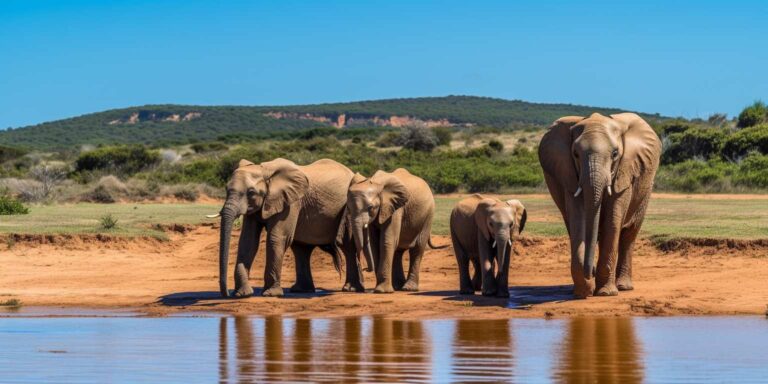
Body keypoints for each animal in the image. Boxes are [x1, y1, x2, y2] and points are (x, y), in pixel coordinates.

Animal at [208, 158, 356, 298]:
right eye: (226, 189)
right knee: (301, 249)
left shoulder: (291, 203)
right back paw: (301, 290)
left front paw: (271, 294)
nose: (226, 294)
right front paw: (242, 294)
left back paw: (349, 289)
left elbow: (276, 238)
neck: (264, 171)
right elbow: (248, 241)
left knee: (347, 246)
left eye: (251, 192)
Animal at [540, 112, 660, 298]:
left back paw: (623, 287)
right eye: (575, 154)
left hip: (646, 190)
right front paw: (583, 292)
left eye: (615, 153)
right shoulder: (570, 175)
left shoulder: (624, 173)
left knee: (629, 234)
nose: (590, 272)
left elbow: (612, 220)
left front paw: (606, 293)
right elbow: (578, 221)